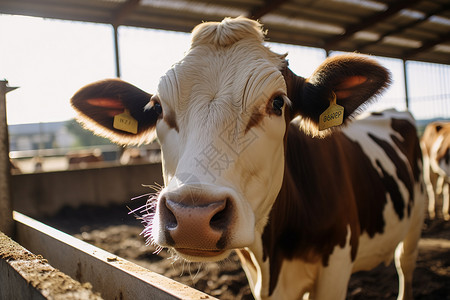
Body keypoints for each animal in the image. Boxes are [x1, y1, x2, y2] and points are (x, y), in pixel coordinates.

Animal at [71, 17, 426, 300]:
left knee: (405, 265)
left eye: (278, 103)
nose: (192, 217)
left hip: (416, 218)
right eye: (157, 107)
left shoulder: (335, 269)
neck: (273, 255)